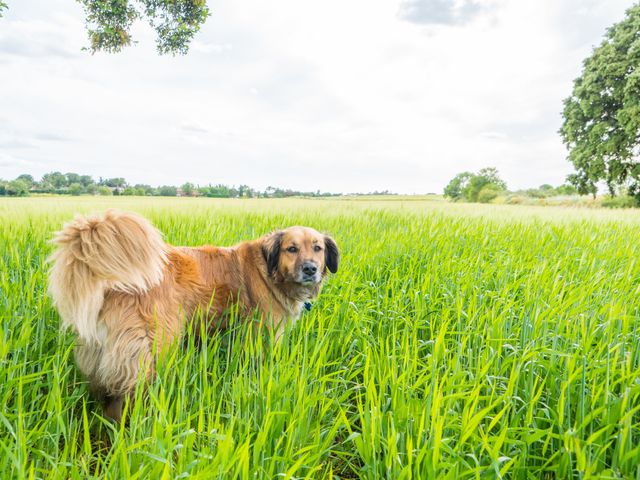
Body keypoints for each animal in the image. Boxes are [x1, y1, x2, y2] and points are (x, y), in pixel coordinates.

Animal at [48, 210, 340, 420]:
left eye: (318, 248)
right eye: (292, 249)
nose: (310, 269)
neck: (268, 269)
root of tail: (114, 285)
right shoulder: (264, 334)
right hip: (155, 350)